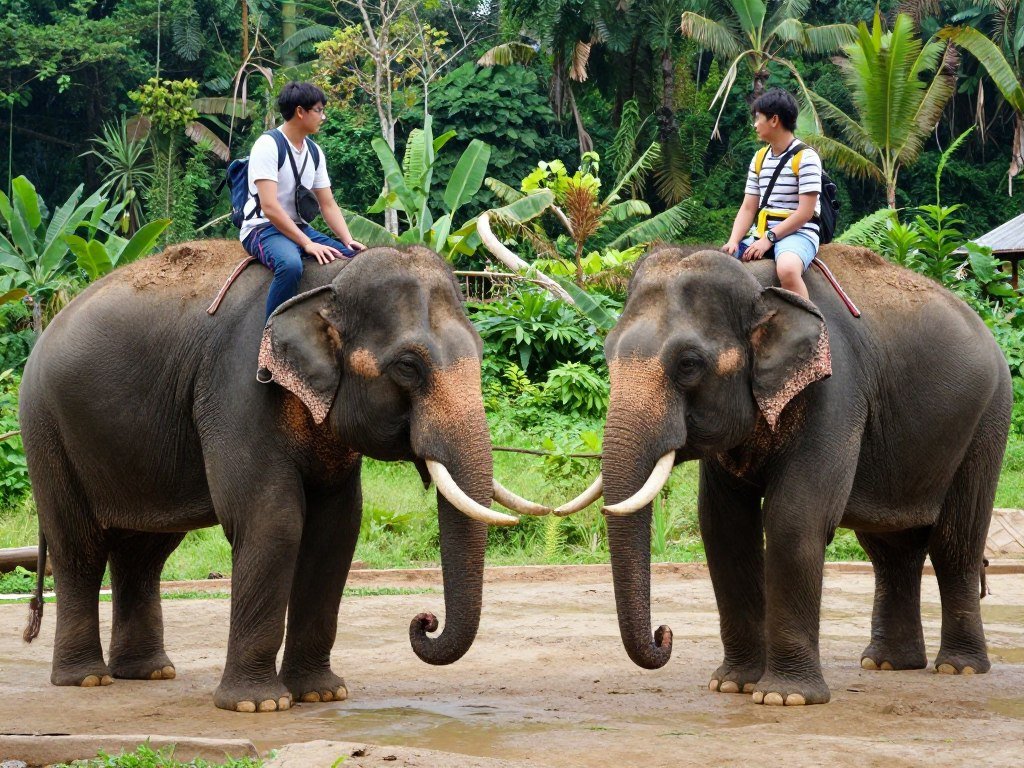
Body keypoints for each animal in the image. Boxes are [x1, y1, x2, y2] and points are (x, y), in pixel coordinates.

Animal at [20, 240, 546, 712]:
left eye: (480, 351)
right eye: (408, 367)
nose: (425, 621)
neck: (326, 282)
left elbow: (336, 528)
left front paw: (321, 694)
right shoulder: (239, 387)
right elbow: (273, 520)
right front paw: (258, 705)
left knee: (144, 551)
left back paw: (149, 672)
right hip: (46, 430)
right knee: (79, 546)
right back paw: (87, 679)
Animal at [558, 243, 1011, 706]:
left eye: (688, 364)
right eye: (608, 353)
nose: (664, 632)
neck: (757, 286)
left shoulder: (835, 389)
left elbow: (794, 519)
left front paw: (784, 697)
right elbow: (723, 526)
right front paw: (733, 685)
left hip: (988, 421)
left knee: (955, 543)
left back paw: (958, 668)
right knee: (891, 549)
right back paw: (887, 663)